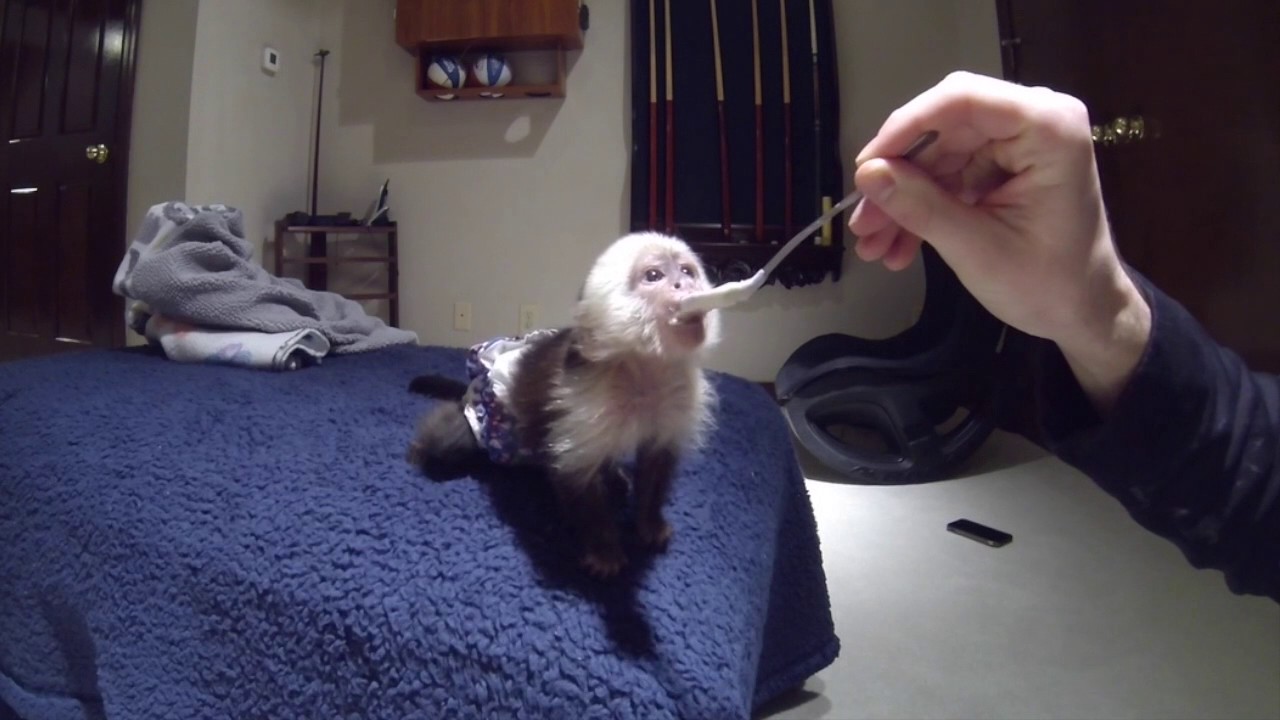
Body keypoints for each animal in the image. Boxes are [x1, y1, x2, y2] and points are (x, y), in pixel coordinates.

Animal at [406, 231, 721, 578]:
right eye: (654, 275)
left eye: (687, 271)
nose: (684, 285)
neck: (642, 371)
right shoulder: (584, 396)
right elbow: (576, 476)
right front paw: (603, 549)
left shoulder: (678, 394)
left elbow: (657, 460)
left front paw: (650, 523)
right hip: (484, 418)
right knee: (450, 437)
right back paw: (424, 445)